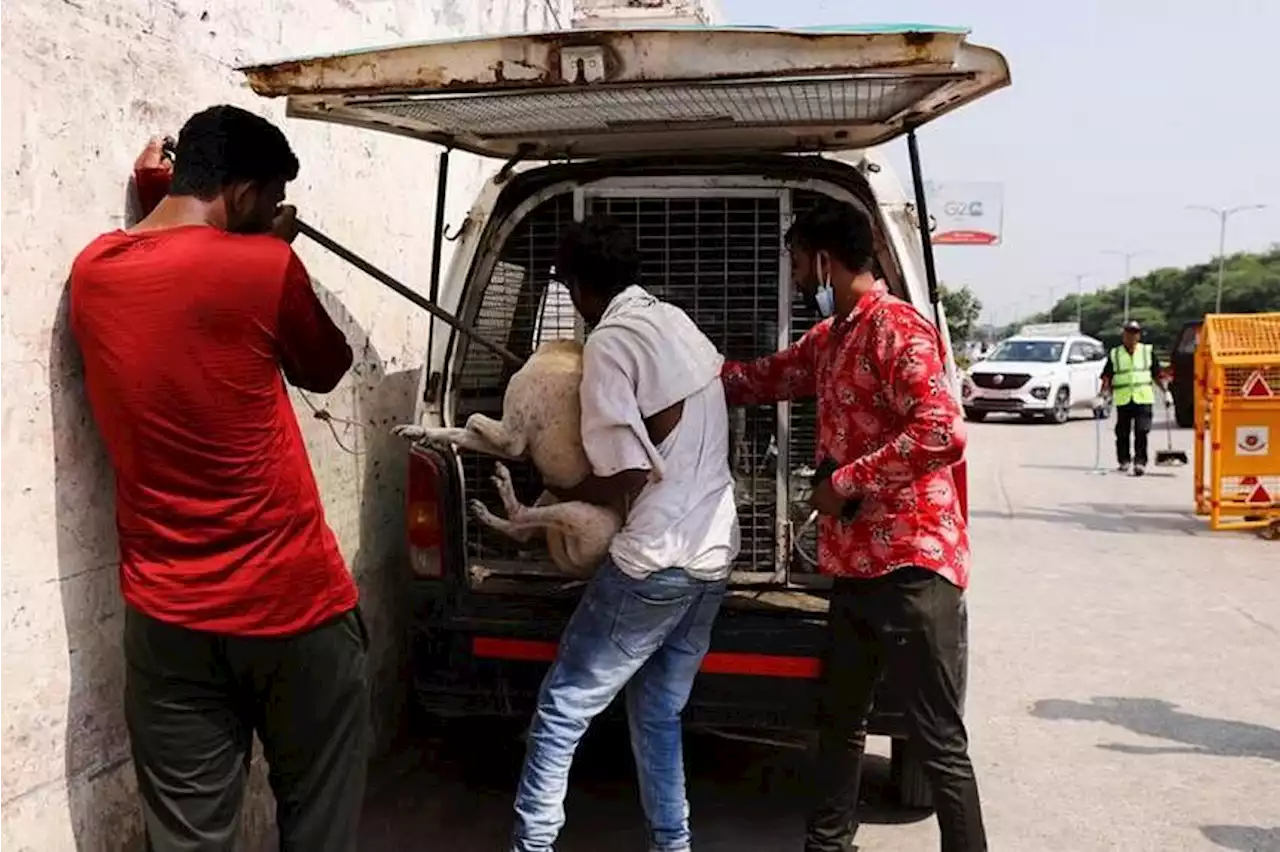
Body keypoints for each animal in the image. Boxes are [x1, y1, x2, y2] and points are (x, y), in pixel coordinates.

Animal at [394, 337, 624, 578]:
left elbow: (474, 418)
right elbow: (457, 432)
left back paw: (504, 487)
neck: (564, 353)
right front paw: (421, 432)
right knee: (521, 531)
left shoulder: (511, 438)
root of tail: (587, 570)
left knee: (521, 517)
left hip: (583, 516)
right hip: (550, 495)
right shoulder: (516, 448)